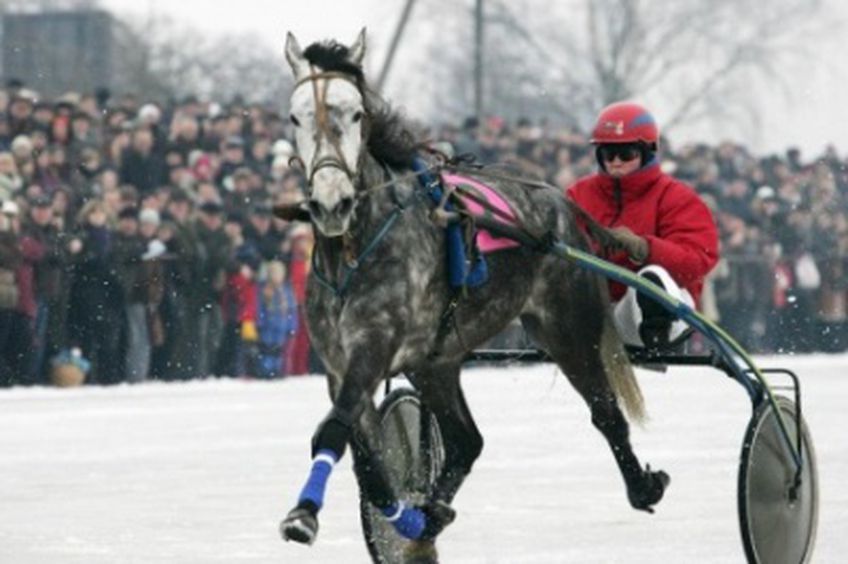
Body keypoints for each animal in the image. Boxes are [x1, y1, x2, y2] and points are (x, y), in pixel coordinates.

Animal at [278, 29, 668, 560]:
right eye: (295, 116)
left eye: (355, 113)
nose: (331, 203)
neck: (354, 250)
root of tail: (559, 199)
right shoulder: (339, 365)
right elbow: (367, 461)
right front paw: (411, 518)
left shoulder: (373, 346)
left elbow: (333, 429)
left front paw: (304, 514)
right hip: (435, 362)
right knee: (466, 441)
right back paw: (430, 516)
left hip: (568, 328)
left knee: (606, 413)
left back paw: (643, 486)